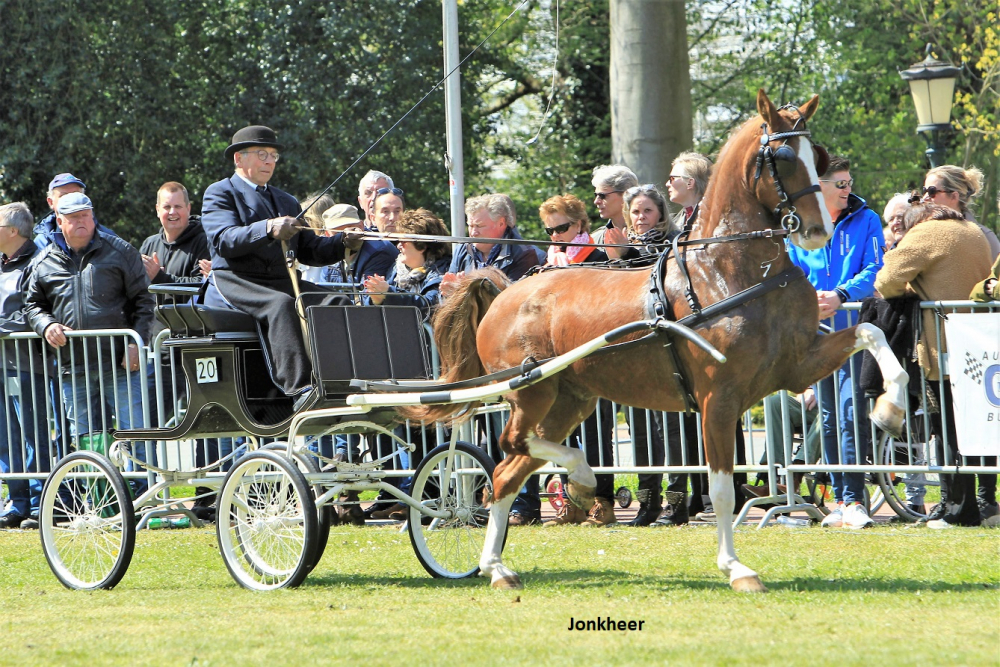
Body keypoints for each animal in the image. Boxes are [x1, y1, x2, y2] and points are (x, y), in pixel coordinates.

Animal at [408, 90, 908, 593]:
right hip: (534, 391)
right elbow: (723, 491)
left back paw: (500, 563)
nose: (819, 229)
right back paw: (577, 480)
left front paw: (890, 409)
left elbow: (872, 333)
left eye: (819, 158)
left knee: (508, 471)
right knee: (512, 445)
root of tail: (504, 292)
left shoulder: (797, 366)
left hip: (571, 399)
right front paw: (736, 568)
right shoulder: (719, 399)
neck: (730, 270)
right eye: (784, 158)